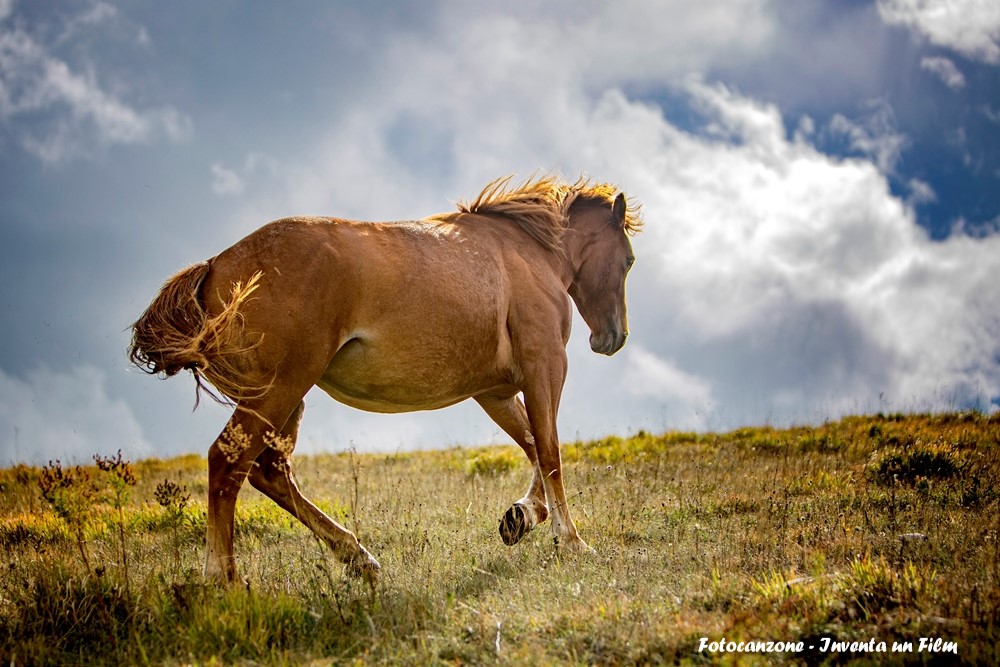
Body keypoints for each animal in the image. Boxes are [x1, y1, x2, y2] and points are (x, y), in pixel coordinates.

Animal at [129, 174, 640, 584]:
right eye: (630, 260)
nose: (613, 337)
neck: (527, 253)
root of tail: (215, 267)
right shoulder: (545, 368)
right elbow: (551, 452)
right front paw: (571, 541)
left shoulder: (493, 393)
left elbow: (534, 445)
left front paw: (521, 517)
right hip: (279, 391)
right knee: (227, 462)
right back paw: (224, 580)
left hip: (287, 400)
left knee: (269, 472)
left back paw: (358, 557)